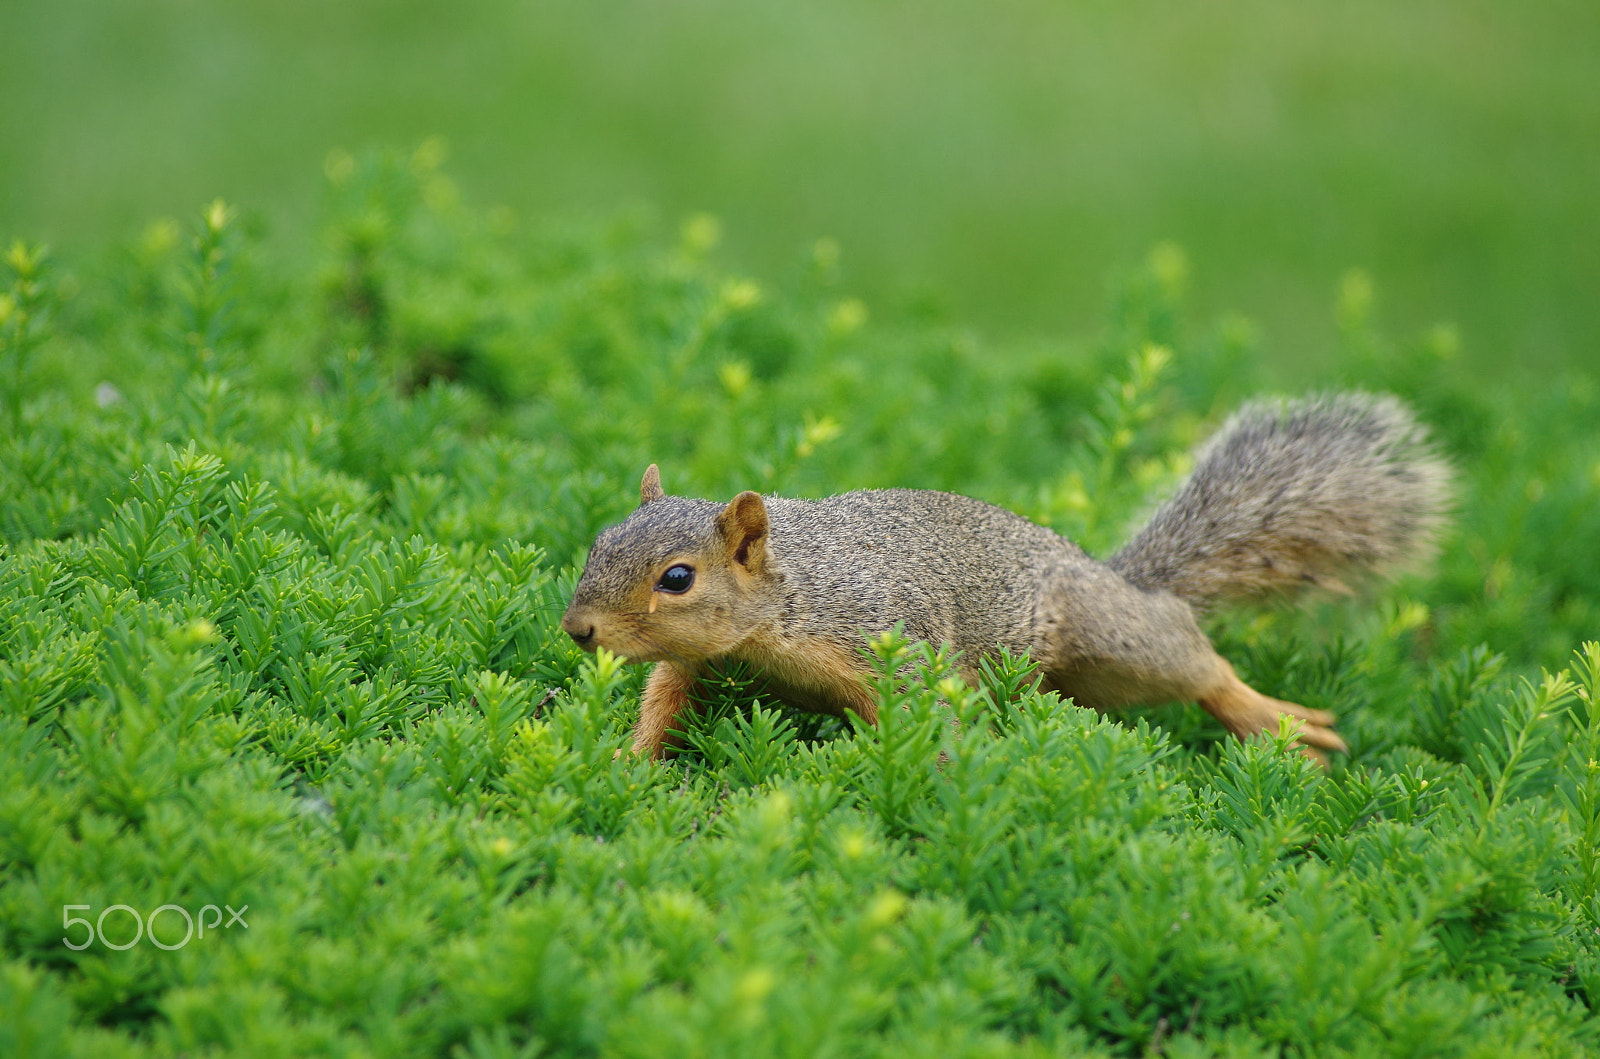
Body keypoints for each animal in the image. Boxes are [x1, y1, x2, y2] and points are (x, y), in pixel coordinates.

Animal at [563, 390, 1452, 764]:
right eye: (598, 542)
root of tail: (1115, 576)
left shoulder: (889, 641)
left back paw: (1274, 718)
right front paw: (626, 766)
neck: (791, 592)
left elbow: (926, 717)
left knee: (1197, 662)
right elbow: (661, 704)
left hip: (1110, 638)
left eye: (678, 577)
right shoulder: (694, 661)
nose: (579, 630)